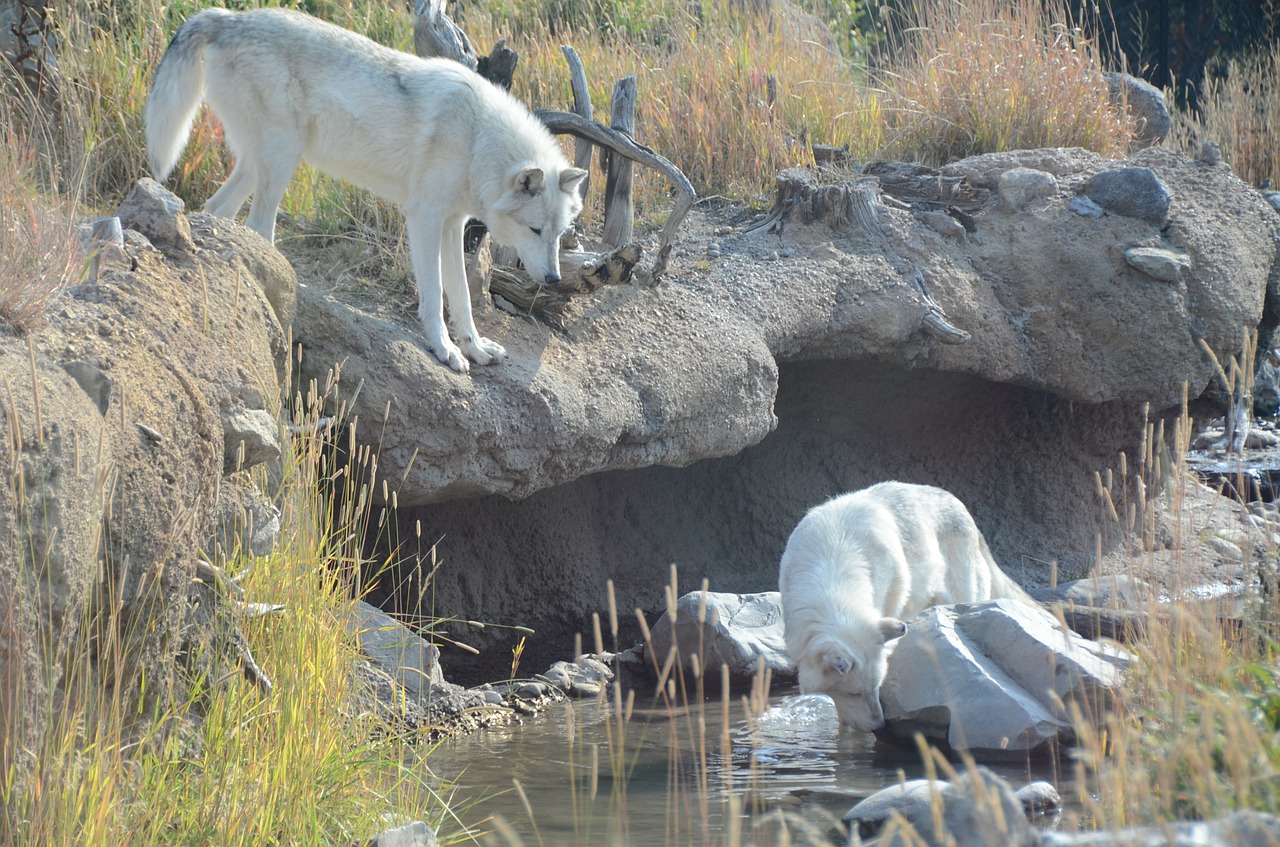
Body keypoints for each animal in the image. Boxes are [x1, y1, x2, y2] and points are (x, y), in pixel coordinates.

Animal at [145, 6, 586, 371]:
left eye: (560, 234)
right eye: (534, 230)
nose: (553, 280)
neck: (478, 139)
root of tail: (230, 17)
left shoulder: (453, 225)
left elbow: (461, 296)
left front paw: (475, 348)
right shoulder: (424, 220)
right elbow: (433, 296)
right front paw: (445, 350)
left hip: (259, 165)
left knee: (217, 210)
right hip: (281, 162)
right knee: (258, 228)